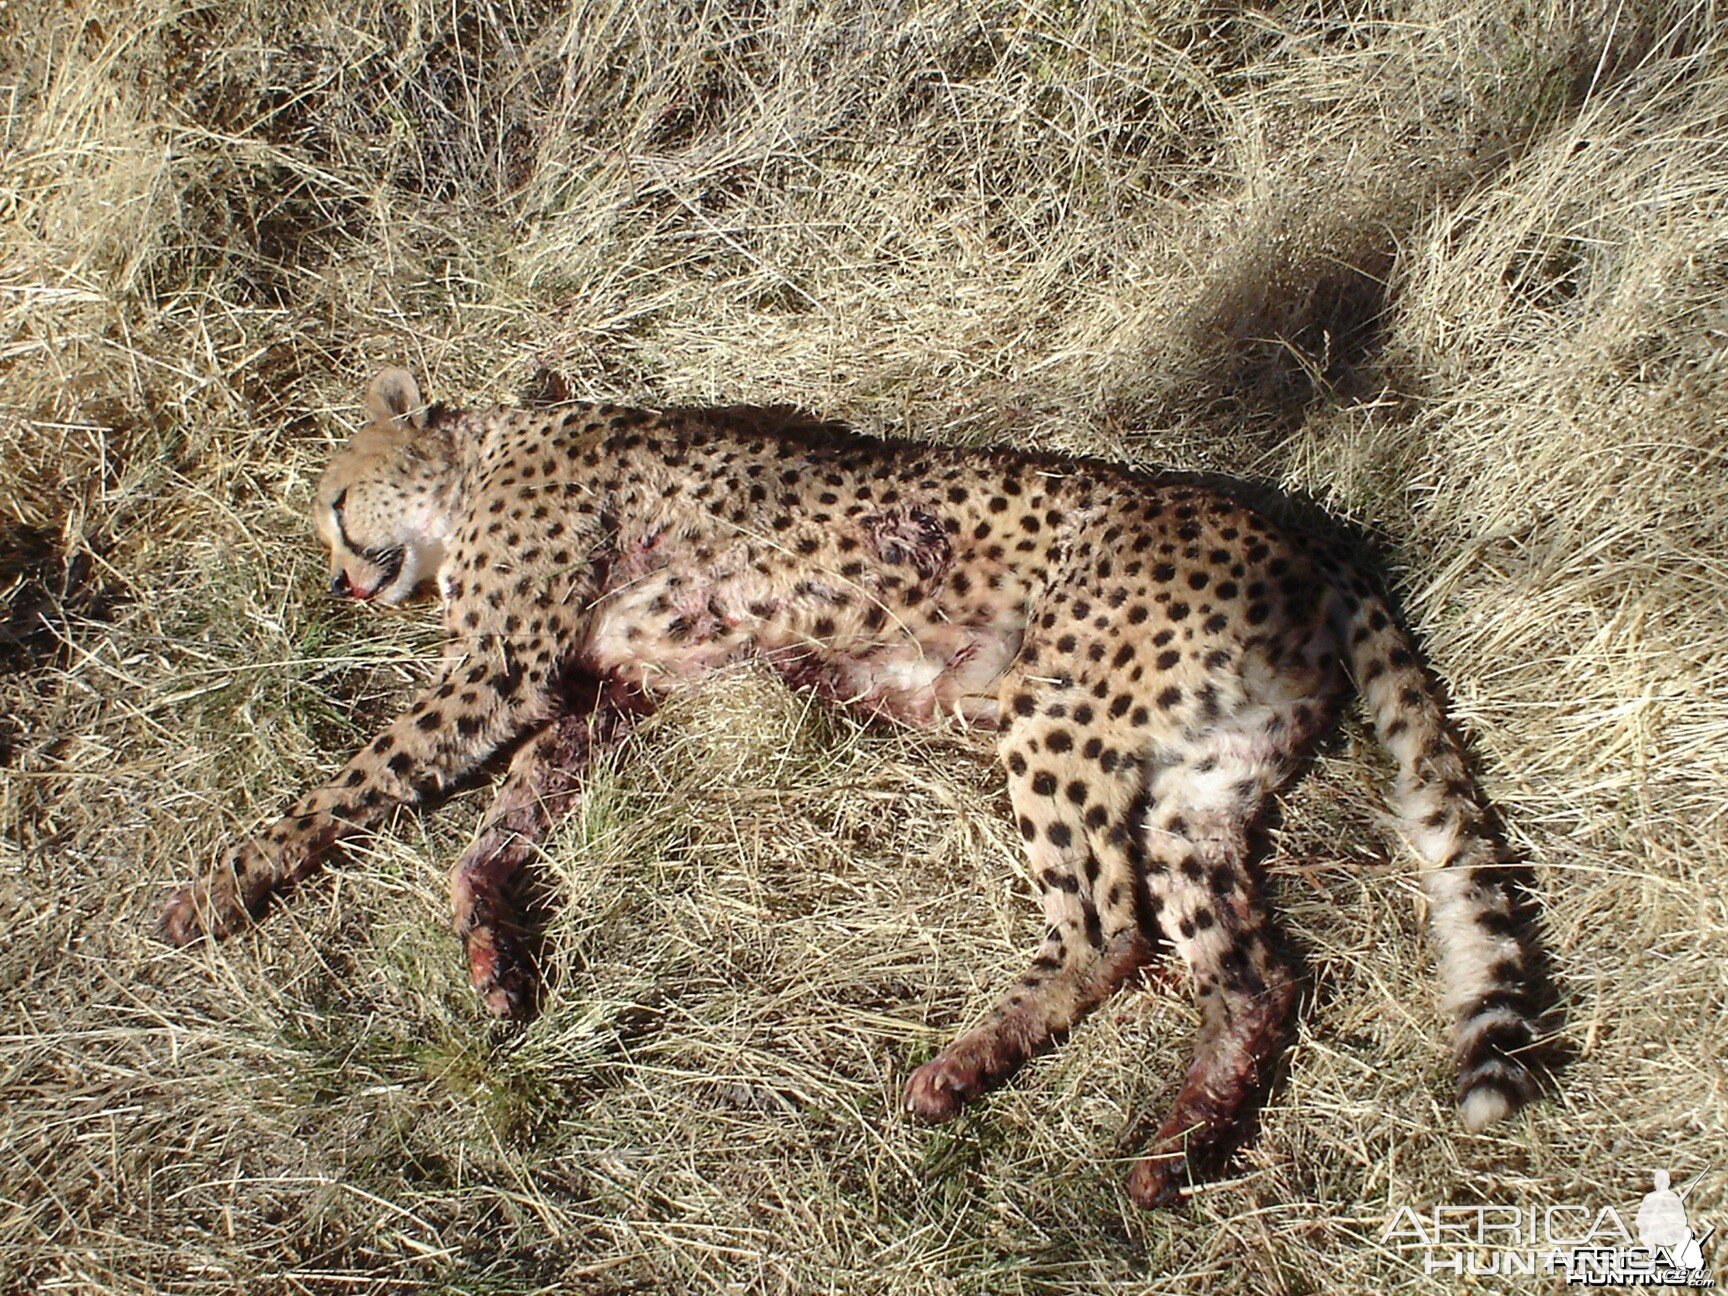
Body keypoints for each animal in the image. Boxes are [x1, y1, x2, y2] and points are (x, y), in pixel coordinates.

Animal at [158, 362, 1541, 1209]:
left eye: (336, 500)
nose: (337, 581)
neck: (487, 454)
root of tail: (1298, 529)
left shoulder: (503, 669)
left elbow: (351, 785)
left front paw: (219, 889)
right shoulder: (599, 698)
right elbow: (497, 829)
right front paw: (491, 947)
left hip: (1058, 716)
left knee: (1108, 931)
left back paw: (960, 1070)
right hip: (1200, 785)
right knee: (1256, 975)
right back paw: (1175, 1151)